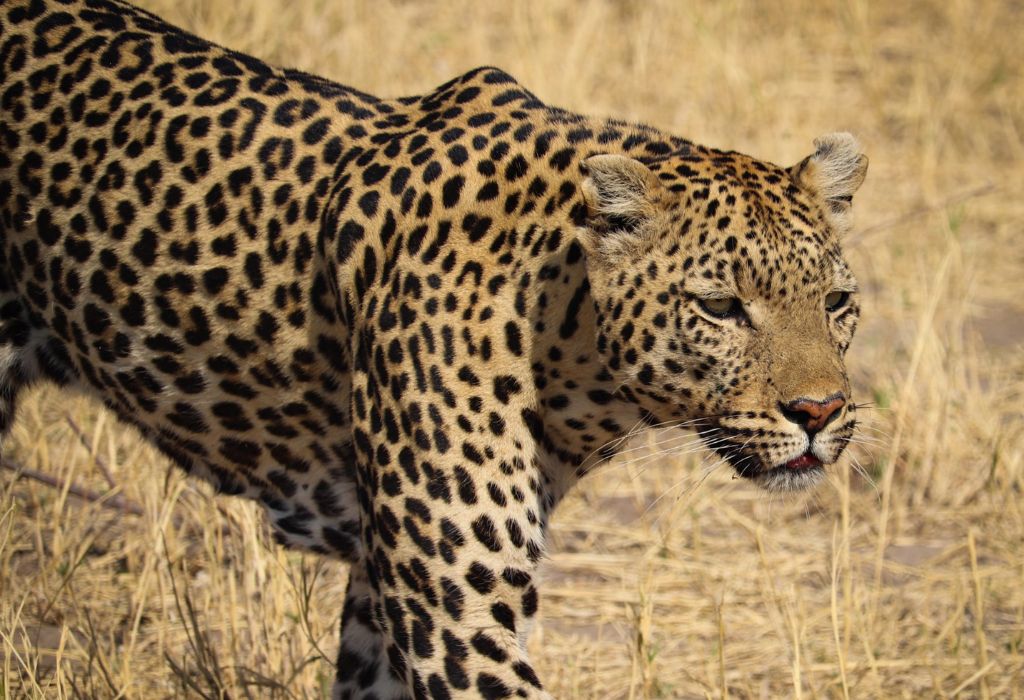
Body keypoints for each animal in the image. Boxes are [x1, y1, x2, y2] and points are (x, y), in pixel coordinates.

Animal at [0, 1, 864, 695]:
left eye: (836, 303)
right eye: (720, 307)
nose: (820, 412)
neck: (565, 336)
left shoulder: (383, 600)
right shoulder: (455, 621)